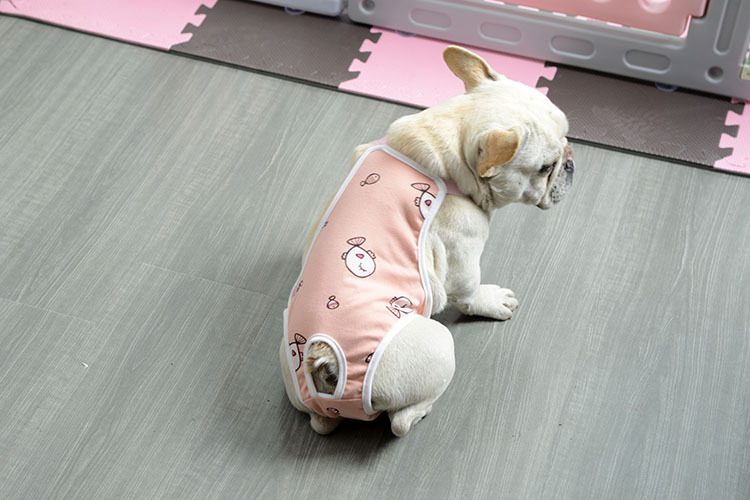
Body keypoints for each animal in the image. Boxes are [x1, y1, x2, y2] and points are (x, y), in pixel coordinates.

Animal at [280, 46, 574, 437]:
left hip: (294, 375)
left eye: (568, 136)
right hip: (437, 346)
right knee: (399, 423)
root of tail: (321, 357)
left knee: (321, 421)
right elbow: (469, 290)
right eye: (544, 168)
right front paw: (492, 301)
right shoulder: (464, 251)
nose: (570, 161)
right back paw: (422, 410)